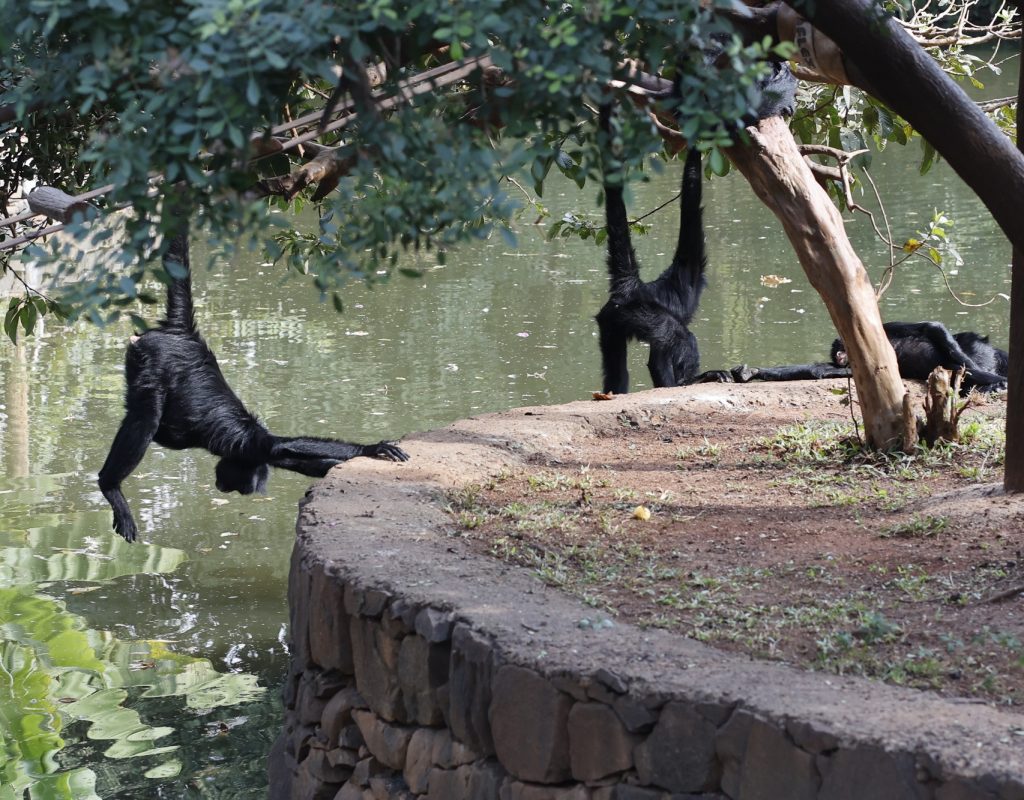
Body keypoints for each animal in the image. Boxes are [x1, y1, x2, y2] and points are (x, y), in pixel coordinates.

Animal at [97, 230, 409, 544]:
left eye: (234, 486)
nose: (222, 487)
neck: (238, 448)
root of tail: (182, 333)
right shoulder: (252, 444)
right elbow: (284, 444)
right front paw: (373, 447)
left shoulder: (263, 454)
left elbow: (301, 459)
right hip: (152, 360)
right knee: (145, 418)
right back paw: (109, 485)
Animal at [729, 317, 1007, 393]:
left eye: (841, 349)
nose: (841, 356)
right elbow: (818, 370)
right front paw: (749, 372)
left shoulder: (883, 327)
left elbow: (931, 327)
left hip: (977, 348)